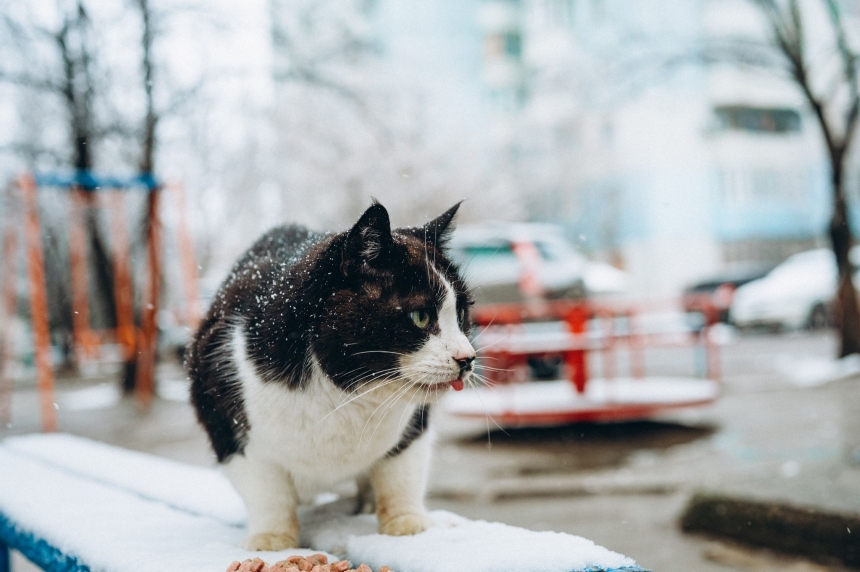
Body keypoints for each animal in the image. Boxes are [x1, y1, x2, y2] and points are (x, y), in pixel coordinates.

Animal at [186, 201, 478, 548]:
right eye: (420, 317)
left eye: (461, 313)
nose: (467, 358)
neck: (346, 396)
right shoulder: (230, 432)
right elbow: (267, 492)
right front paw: (272, 539)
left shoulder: (412, 431)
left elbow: (401, 476)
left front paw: (407, 524)